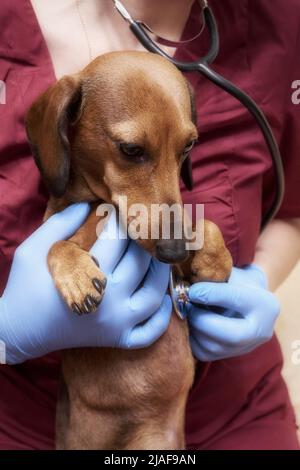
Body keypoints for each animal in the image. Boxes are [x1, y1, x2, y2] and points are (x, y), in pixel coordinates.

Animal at [25, 50, 232, 448]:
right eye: (131, 150)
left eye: (188, 146)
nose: (175, 252)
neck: (102, 206)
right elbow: (55, 244)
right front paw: (77, 275)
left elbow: (204, 225)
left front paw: (215, 261)